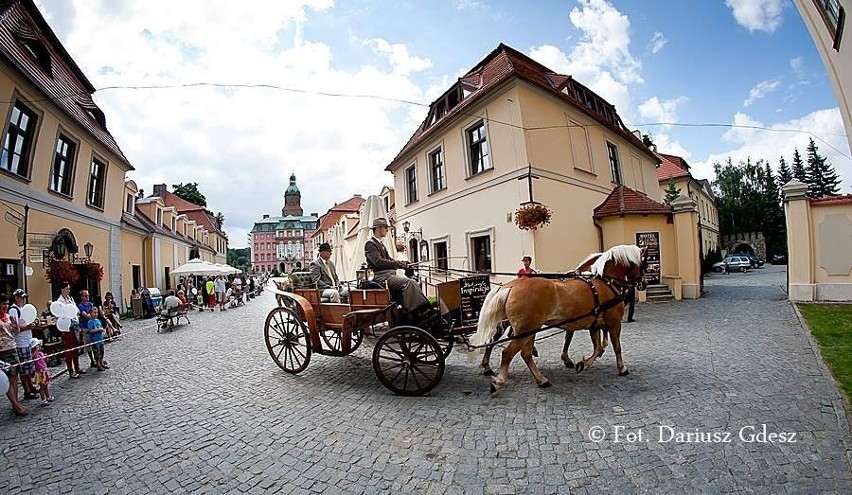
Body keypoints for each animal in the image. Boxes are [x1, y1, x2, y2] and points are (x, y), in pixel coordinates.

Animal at [472, 244, 644, 392]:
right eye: (643, 263)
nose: (644, 283)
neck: (605, 282)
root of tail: (510, 286)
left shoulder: (594, 325)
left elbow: (598, 348)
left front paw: (583, 363)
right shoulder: (614, 323)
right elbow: (616, 347)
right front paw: (622, 368)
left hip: (529, 329)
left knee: (521, 352)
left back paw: (540, 379)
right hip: (524, 330)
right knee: (507, 352)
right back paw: (499, 381)